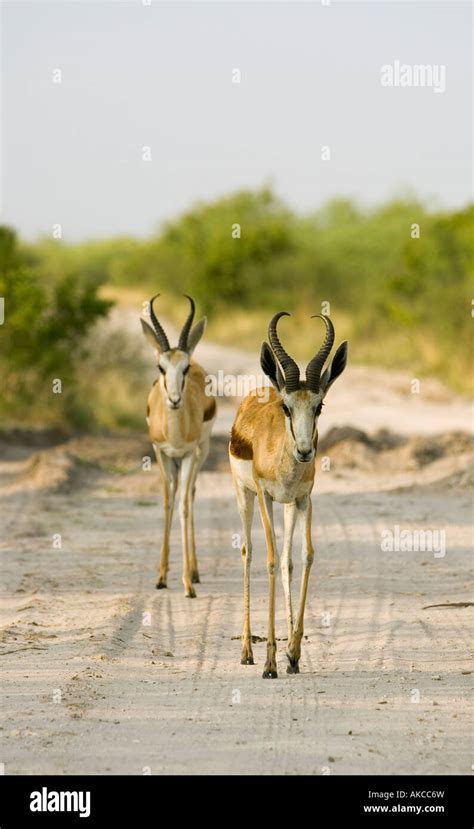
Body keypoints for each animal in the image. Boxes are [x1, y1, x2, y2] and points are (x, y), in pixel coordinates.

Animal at [230, 314, 348, 676]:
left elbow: (304, 556)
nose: (305, 451)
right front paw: (270, 663)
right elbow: (268, 561)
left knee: (287, 560)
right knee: (248, 553)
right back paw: (247, 652)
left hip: (287, 507)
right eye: (287, 406)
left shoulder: (303, 499)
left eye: (319, 405)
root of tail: (264, 387)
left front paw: (293, 653)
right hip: (244, 496)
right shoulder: (266, 496)